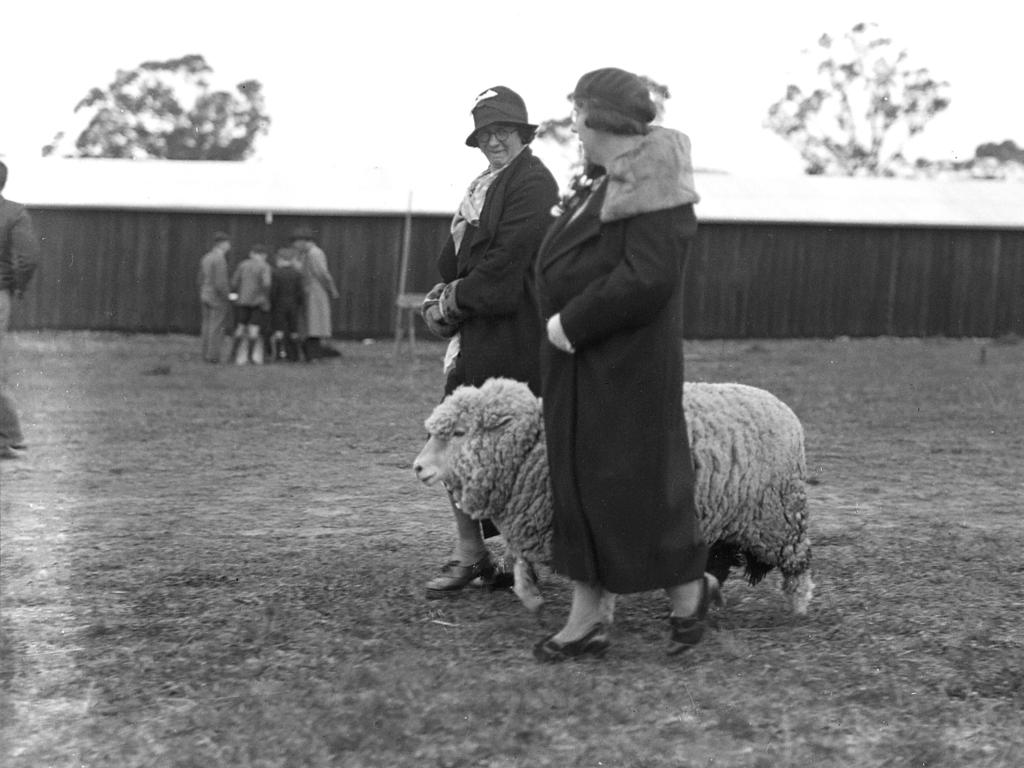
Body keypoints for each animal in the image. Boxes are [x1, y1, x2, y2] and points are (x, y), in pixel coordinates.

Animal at [411, 378, 811, 618]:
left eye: (460, 432)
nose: (417, 467)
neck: (535, 449)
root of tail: (781, 407)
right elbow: (522, 559)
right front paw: (530, 595)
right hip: (726, 512)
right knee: (721, 560)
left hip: (776, 514)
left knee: (798, 558)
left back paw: (800, 604)